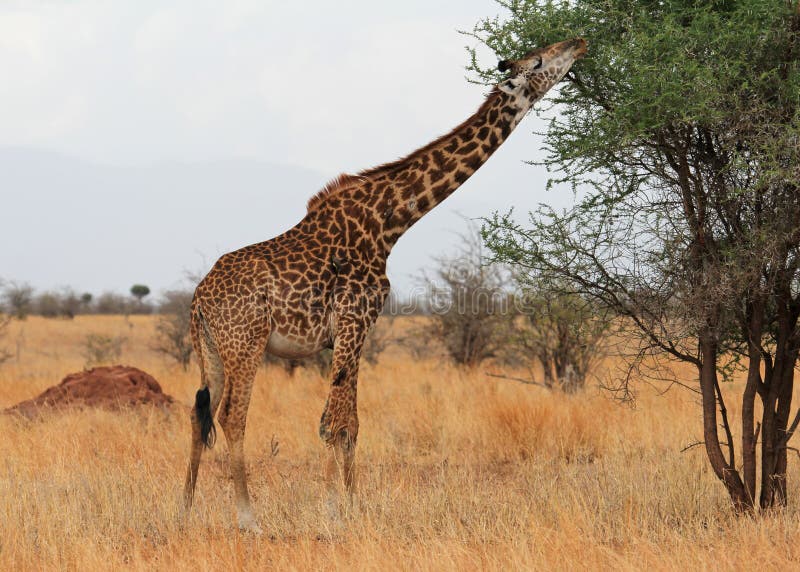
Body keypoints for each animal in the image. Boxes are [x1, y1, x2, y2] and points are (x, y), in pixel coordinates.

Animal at [183, 37, 587, 533]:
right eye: (539, 61)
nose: (578, 42)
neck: (390, 222)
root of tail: (199, 299)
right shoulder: (353, 320)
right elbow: (334, 422)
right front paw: (334, 511)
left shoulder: (353, 331)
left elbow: (349, 424)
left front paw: (352, 505)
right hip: (246, 343)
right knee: (232, 417)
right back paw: (248, 518)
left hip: (211, 349)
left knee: (199, 413)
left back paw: (185, 509)